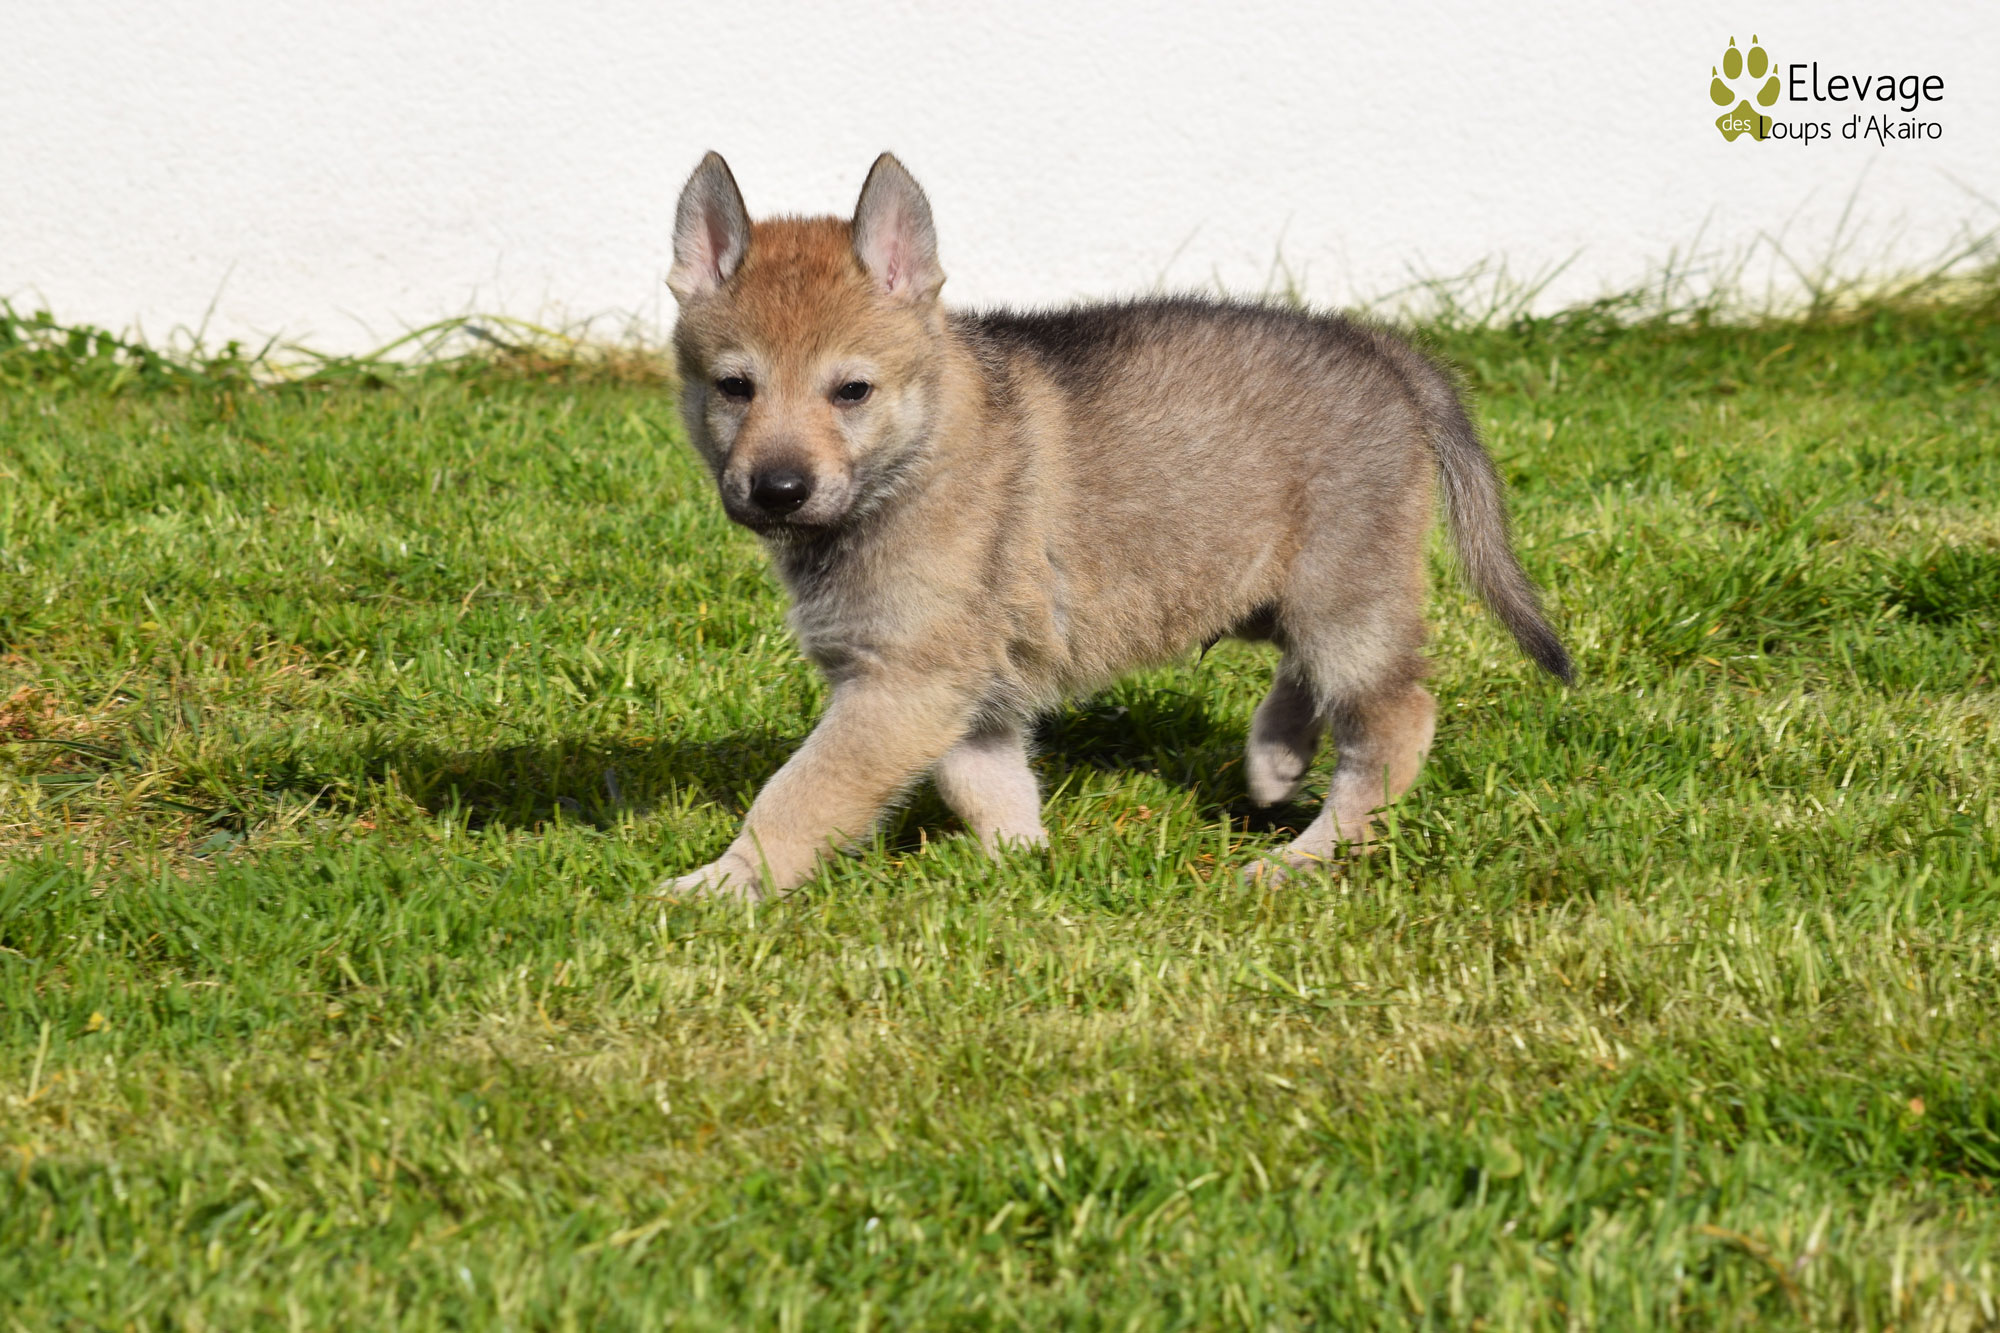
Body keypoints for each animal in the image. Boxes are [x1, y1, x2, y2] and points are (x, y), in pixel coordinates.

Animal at [663, 151, 1571, 900]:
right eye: (735, 386)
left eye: (851, 391)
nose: (778, 489)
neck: (917, 457)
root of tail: (1381, 346)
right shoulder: (964, 694)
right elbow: (989, 787)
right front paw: (1024, 869)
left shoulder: (902, 686)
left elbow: (799, 794)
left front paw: (723, 882)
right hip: (1258, 585)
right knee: (1311, 679)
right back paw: (1275, 760)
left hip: (1342, 595)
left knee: (1392, 724)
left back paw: (1305, 857)